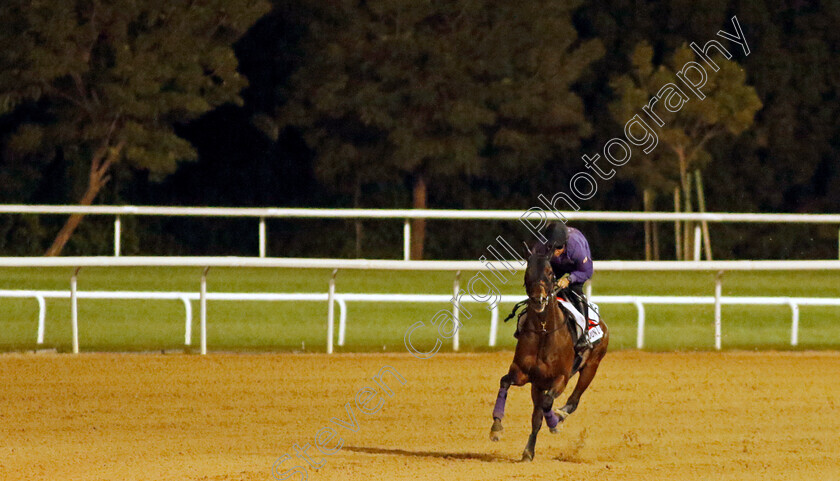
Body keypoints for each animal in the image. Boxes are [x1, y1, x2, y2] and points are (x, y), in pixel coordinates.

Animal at [486, 248, 612, 462]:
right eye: (527, 273)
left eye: (550, 272)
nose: (539, 299)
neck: (544, 332)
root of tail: (602, 324)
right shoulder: (523, 373)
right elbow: (505, 382)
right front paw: (496, 426)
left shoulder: (561, 378)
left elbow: (547, 403)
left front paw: (553, 423)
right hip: (538, 384)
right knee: (537, 416)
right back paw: (529, 451)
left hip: (591, 365)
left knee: (572, 401)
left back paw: (559, 416)